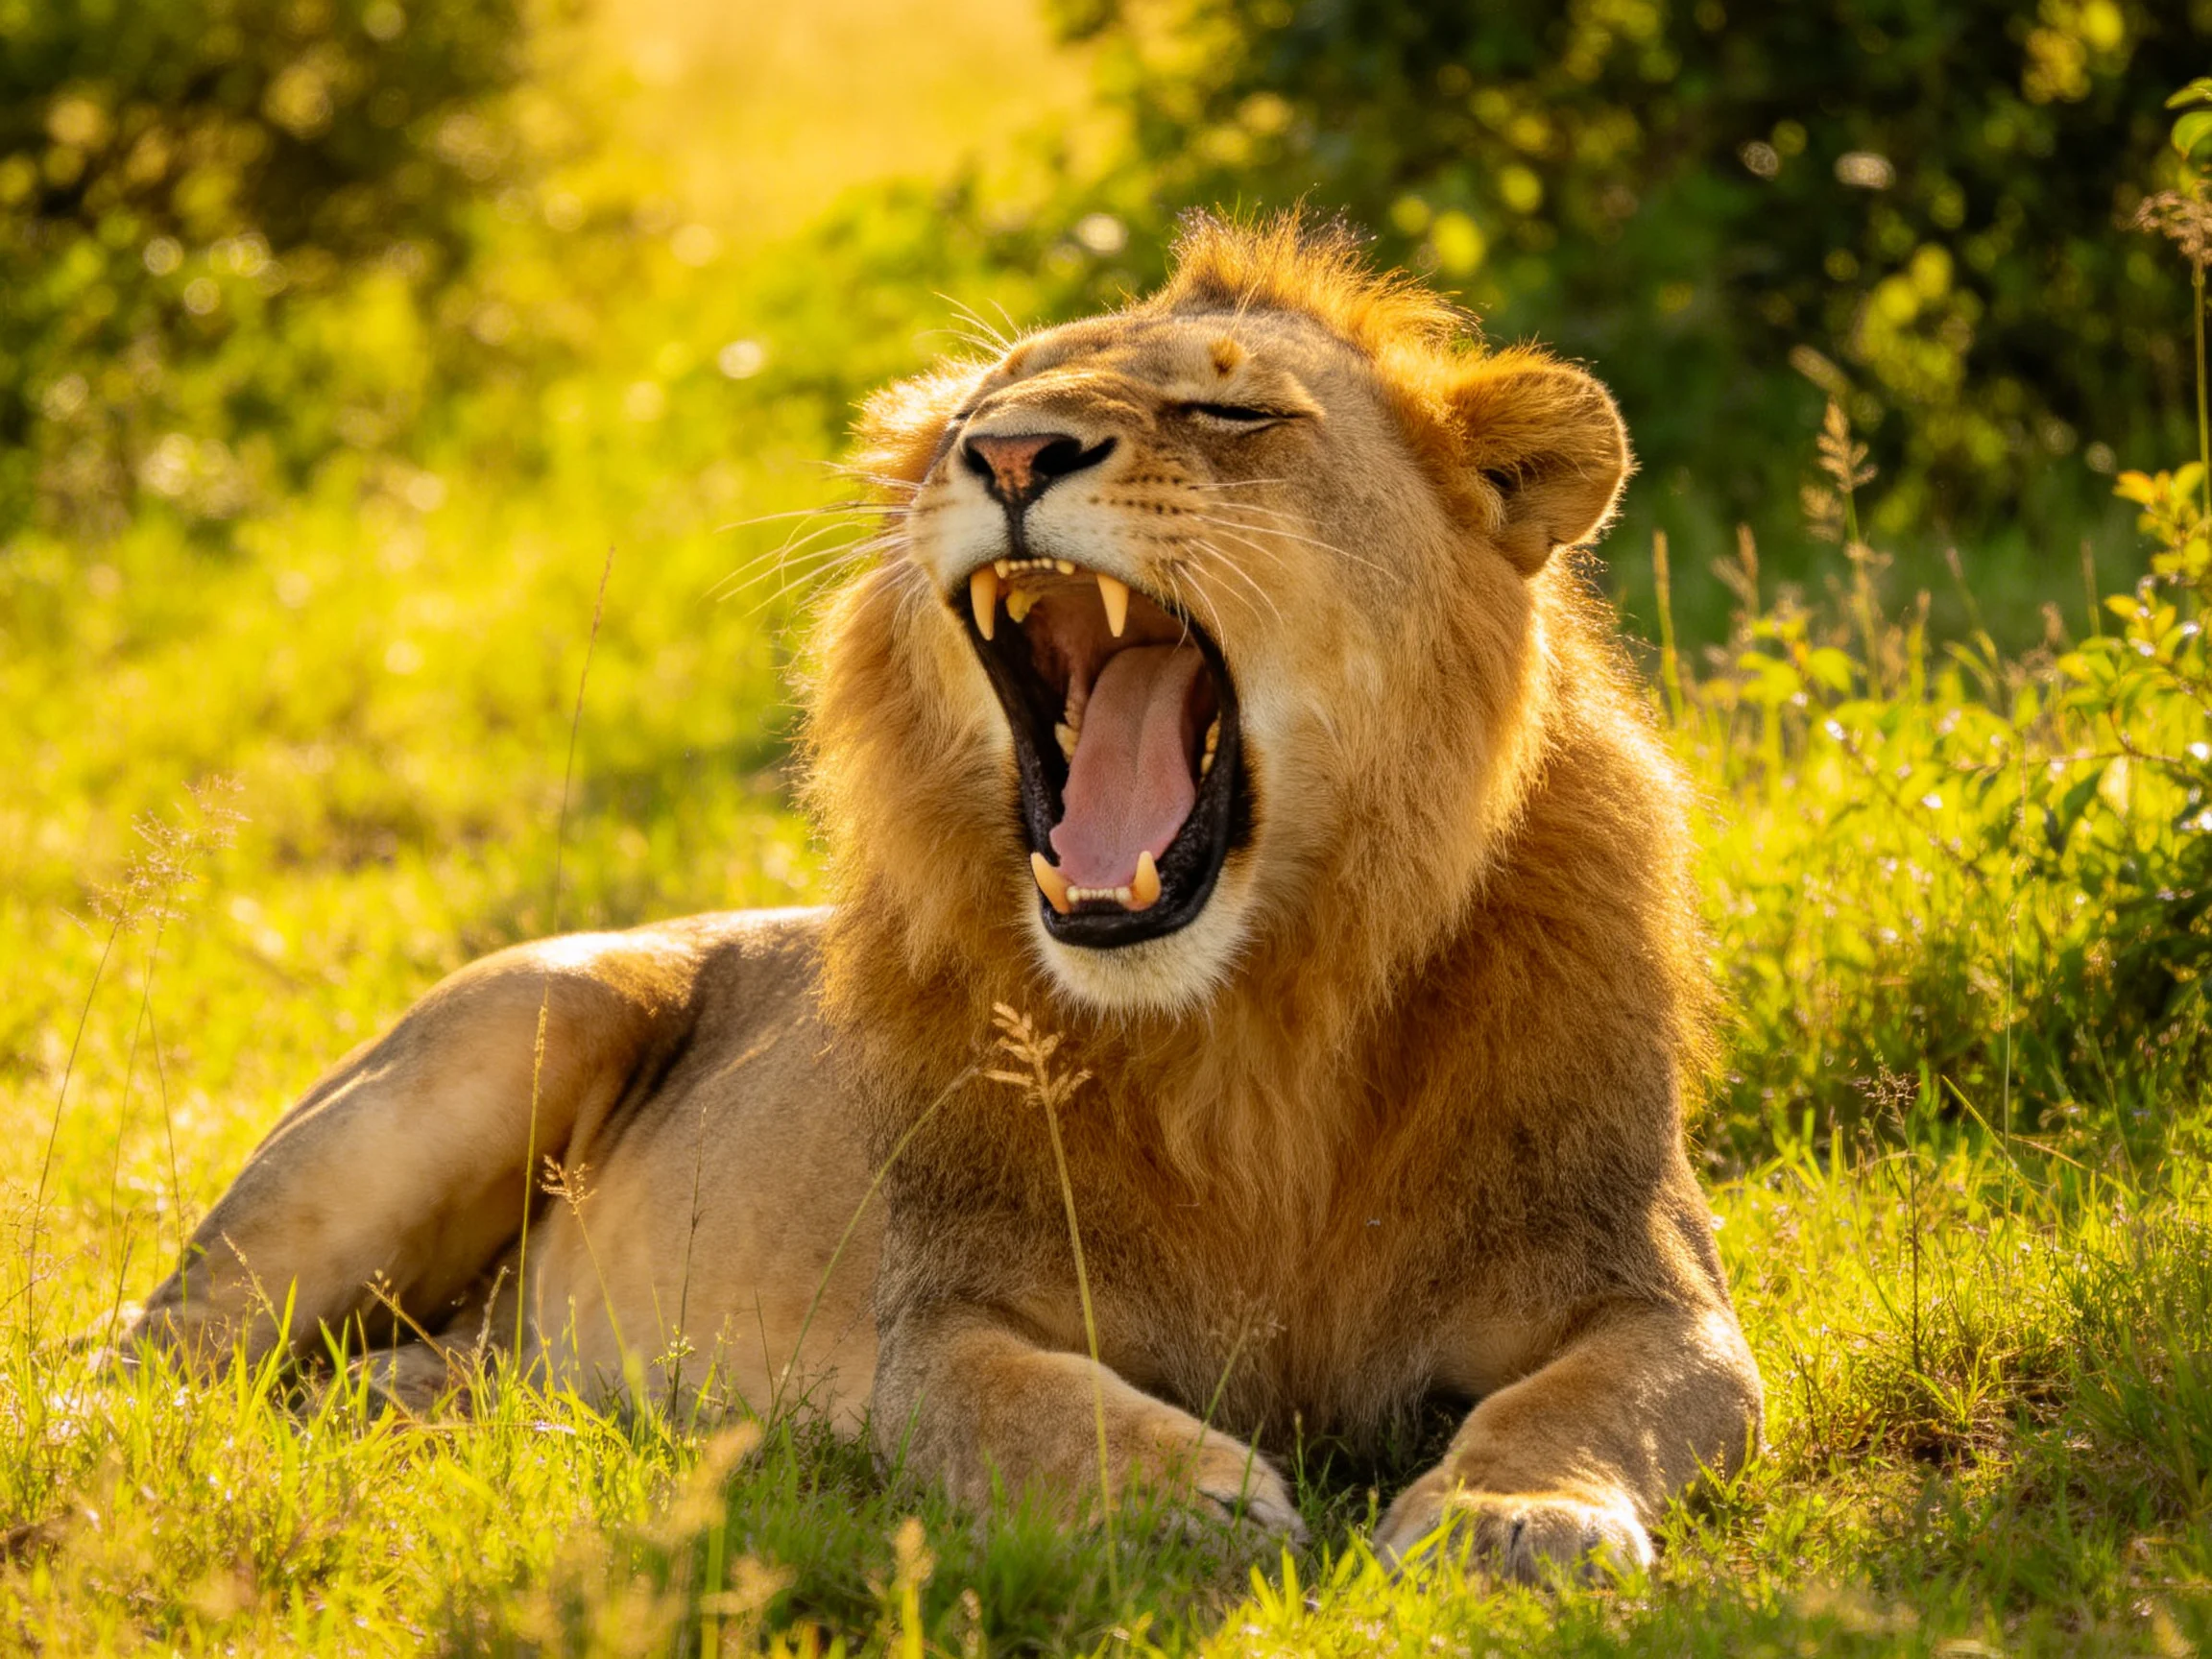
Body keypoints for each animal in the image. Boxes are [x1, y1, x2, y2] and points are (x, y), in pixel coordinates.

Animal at [128, 213, 1763, 1581]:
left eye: (1233, 415)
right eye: (978, 410)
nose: (1015, 455)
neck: (1254, 1034)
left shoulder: (1650, 1287)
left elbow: (1598, 1399)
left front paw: (1512, 1514)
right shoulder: (946, 1315)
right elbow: (1006, 1401)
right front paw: (1167, 1496)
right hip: (516, 1032)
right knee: (161, 1348)